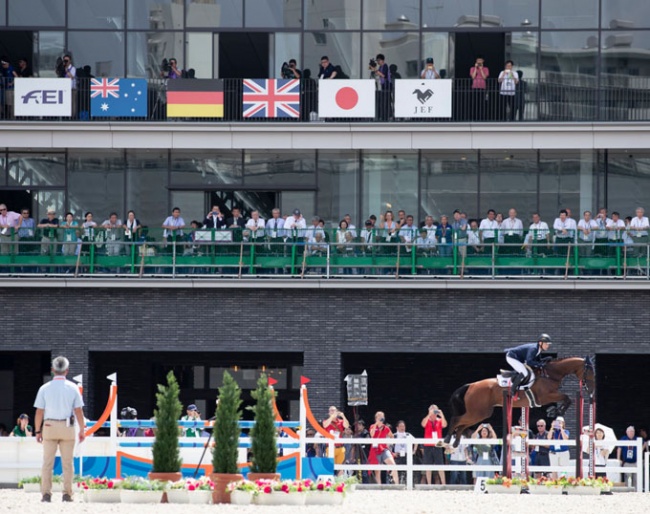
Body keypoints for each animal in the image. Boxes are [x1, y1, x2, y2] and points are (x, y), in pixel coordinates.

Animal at [440, 354, 592, 446]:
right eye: (590, 371)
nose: (591, 391)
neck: (549, 374)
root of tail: (470, 385)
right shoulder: (545, 397)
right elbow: (567, 398)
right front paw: (554, 411)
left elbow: (567, 399)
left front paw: (554, 411)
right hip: (478, 412)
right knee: (456, 420)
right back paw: (446, 439)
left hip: (480, 413)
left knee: (462, 424)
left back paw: (455, 442)